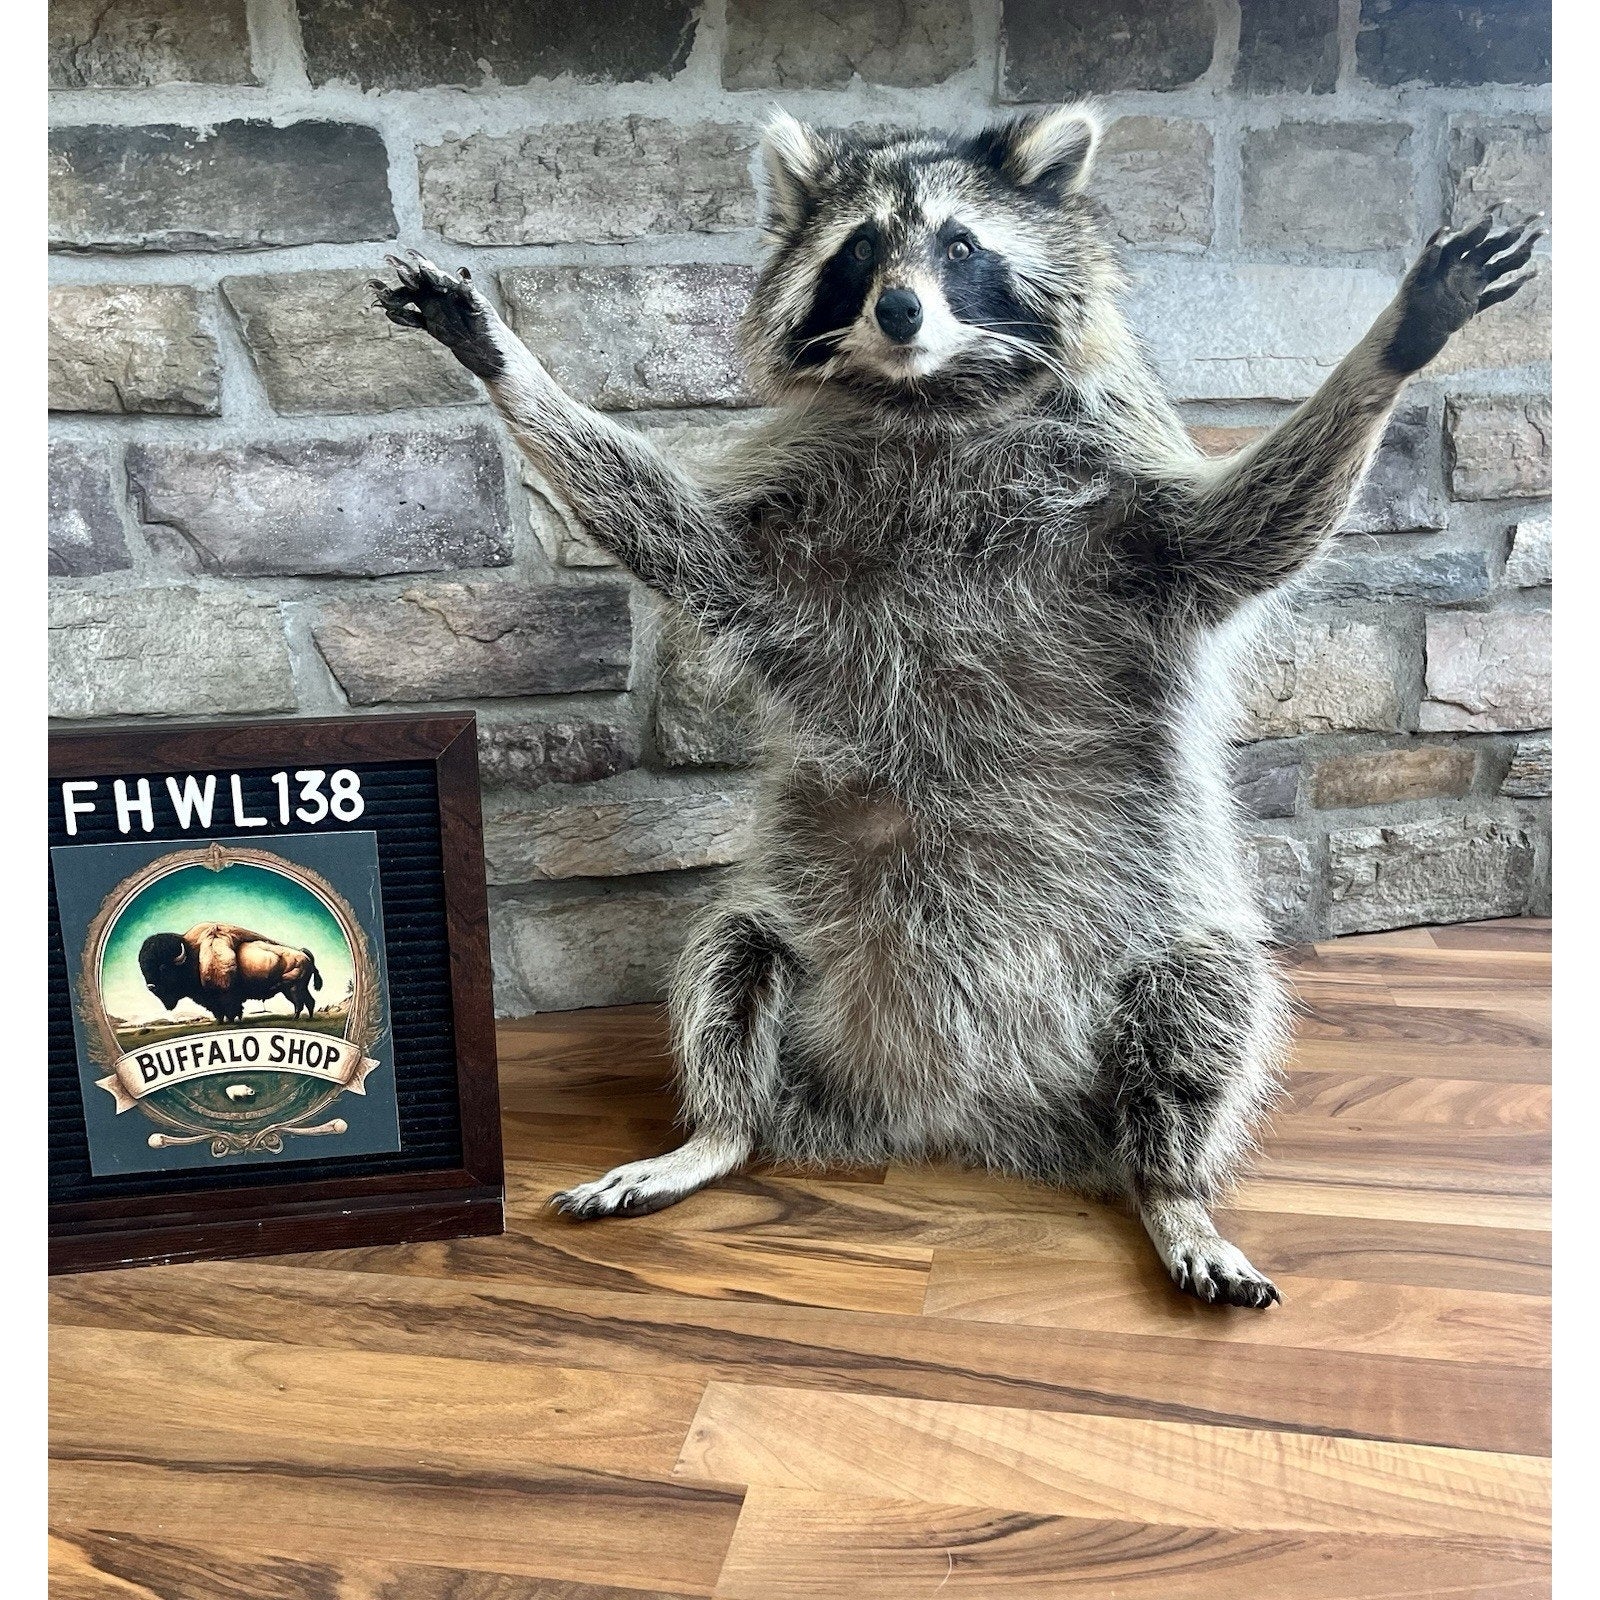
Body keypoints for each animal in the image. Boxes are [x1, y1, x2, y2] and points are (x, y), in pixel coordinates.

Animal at [374, 106, 1541, 1307]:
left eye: (961, 244)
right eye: (857, 251)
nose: (899, 308)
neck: (933, 401)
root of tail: (943, 1109)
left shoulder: (1128, 512)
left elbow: (1252, 531)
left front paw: (1401, 336)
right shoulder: (782, 521)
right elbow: (671, 534)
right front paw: (505, 362)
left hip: (1160, 941)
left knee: (1207, 1008)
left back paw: (1170, 1184)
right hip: (791, 934)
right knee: (728, 961)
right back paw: (716, 1130)